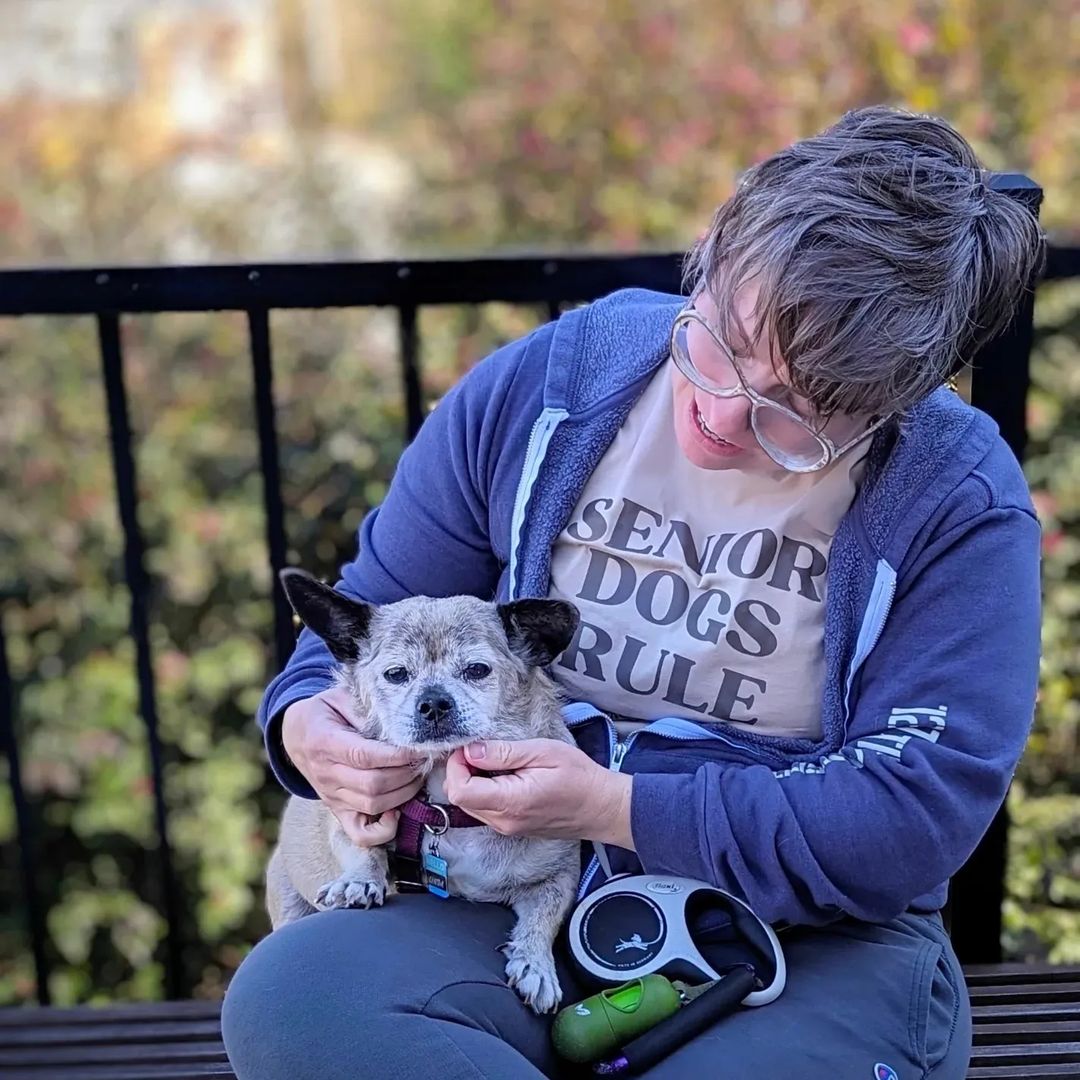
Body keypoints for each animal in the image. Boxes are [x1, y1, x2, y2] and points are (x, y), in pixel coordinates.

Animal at [266, 570, 587, 1015]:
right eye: (396, 674)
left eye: (477, 670)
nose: (433, 701)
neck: (444, 806)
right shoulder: (351, 818)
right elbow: (361, 848)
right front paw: (360, 881)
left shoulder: (559, 876)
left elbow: (543, 919)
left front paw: (535, 965)